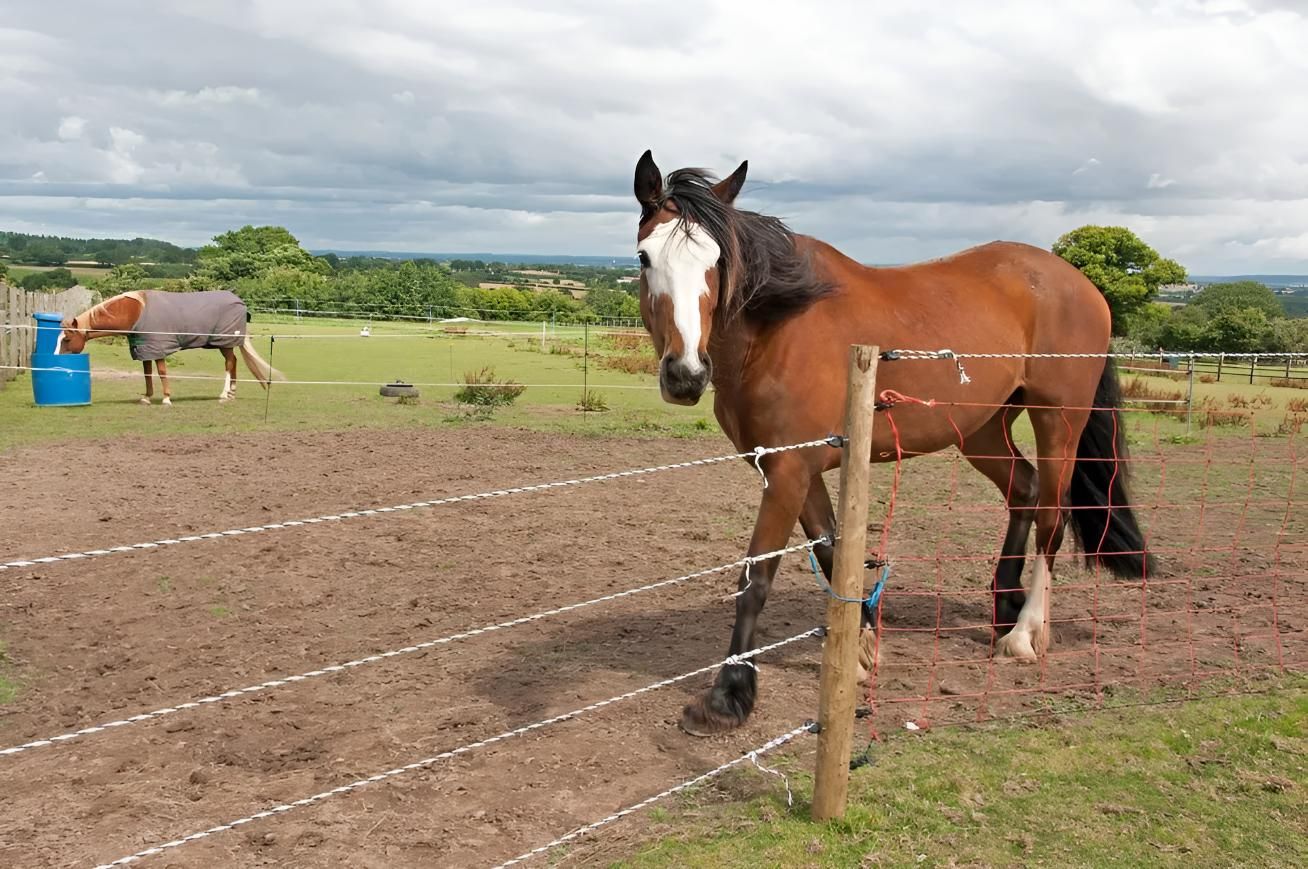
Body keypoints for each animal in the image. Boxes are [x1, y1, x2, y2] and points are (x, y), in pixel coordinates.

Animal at [59, 289, 281, 405]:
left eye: (66, 340)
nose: (58, 358)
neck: (136, 312)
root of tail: (239, 302)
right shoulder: (145, 349)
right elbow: (147, 374)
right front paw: (147, 398)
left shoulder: (159, 348)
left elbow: (162, 372)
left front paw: (166, 398)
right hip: (224, 344)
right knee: (233, 362)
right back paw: (231, 394)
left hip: (224, 343)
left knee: (229, 364)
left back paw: (223, 394)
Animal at [631, 151, 1153, 736]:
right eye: (645, 257)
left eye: (718, 261)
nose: (685, 374)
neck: (777, 328)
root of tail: (1083, 286)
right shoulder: (795, 470)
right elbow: (833, 551)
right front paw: (861, 651)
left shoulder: (788, 472)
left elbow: (757, 577)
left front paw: (727, 695)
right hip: (982, 429)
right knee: (1025, 490)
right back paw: (1005, 607)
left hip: (1058, 422)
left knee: (1051, 516)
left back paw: (1024, 633)